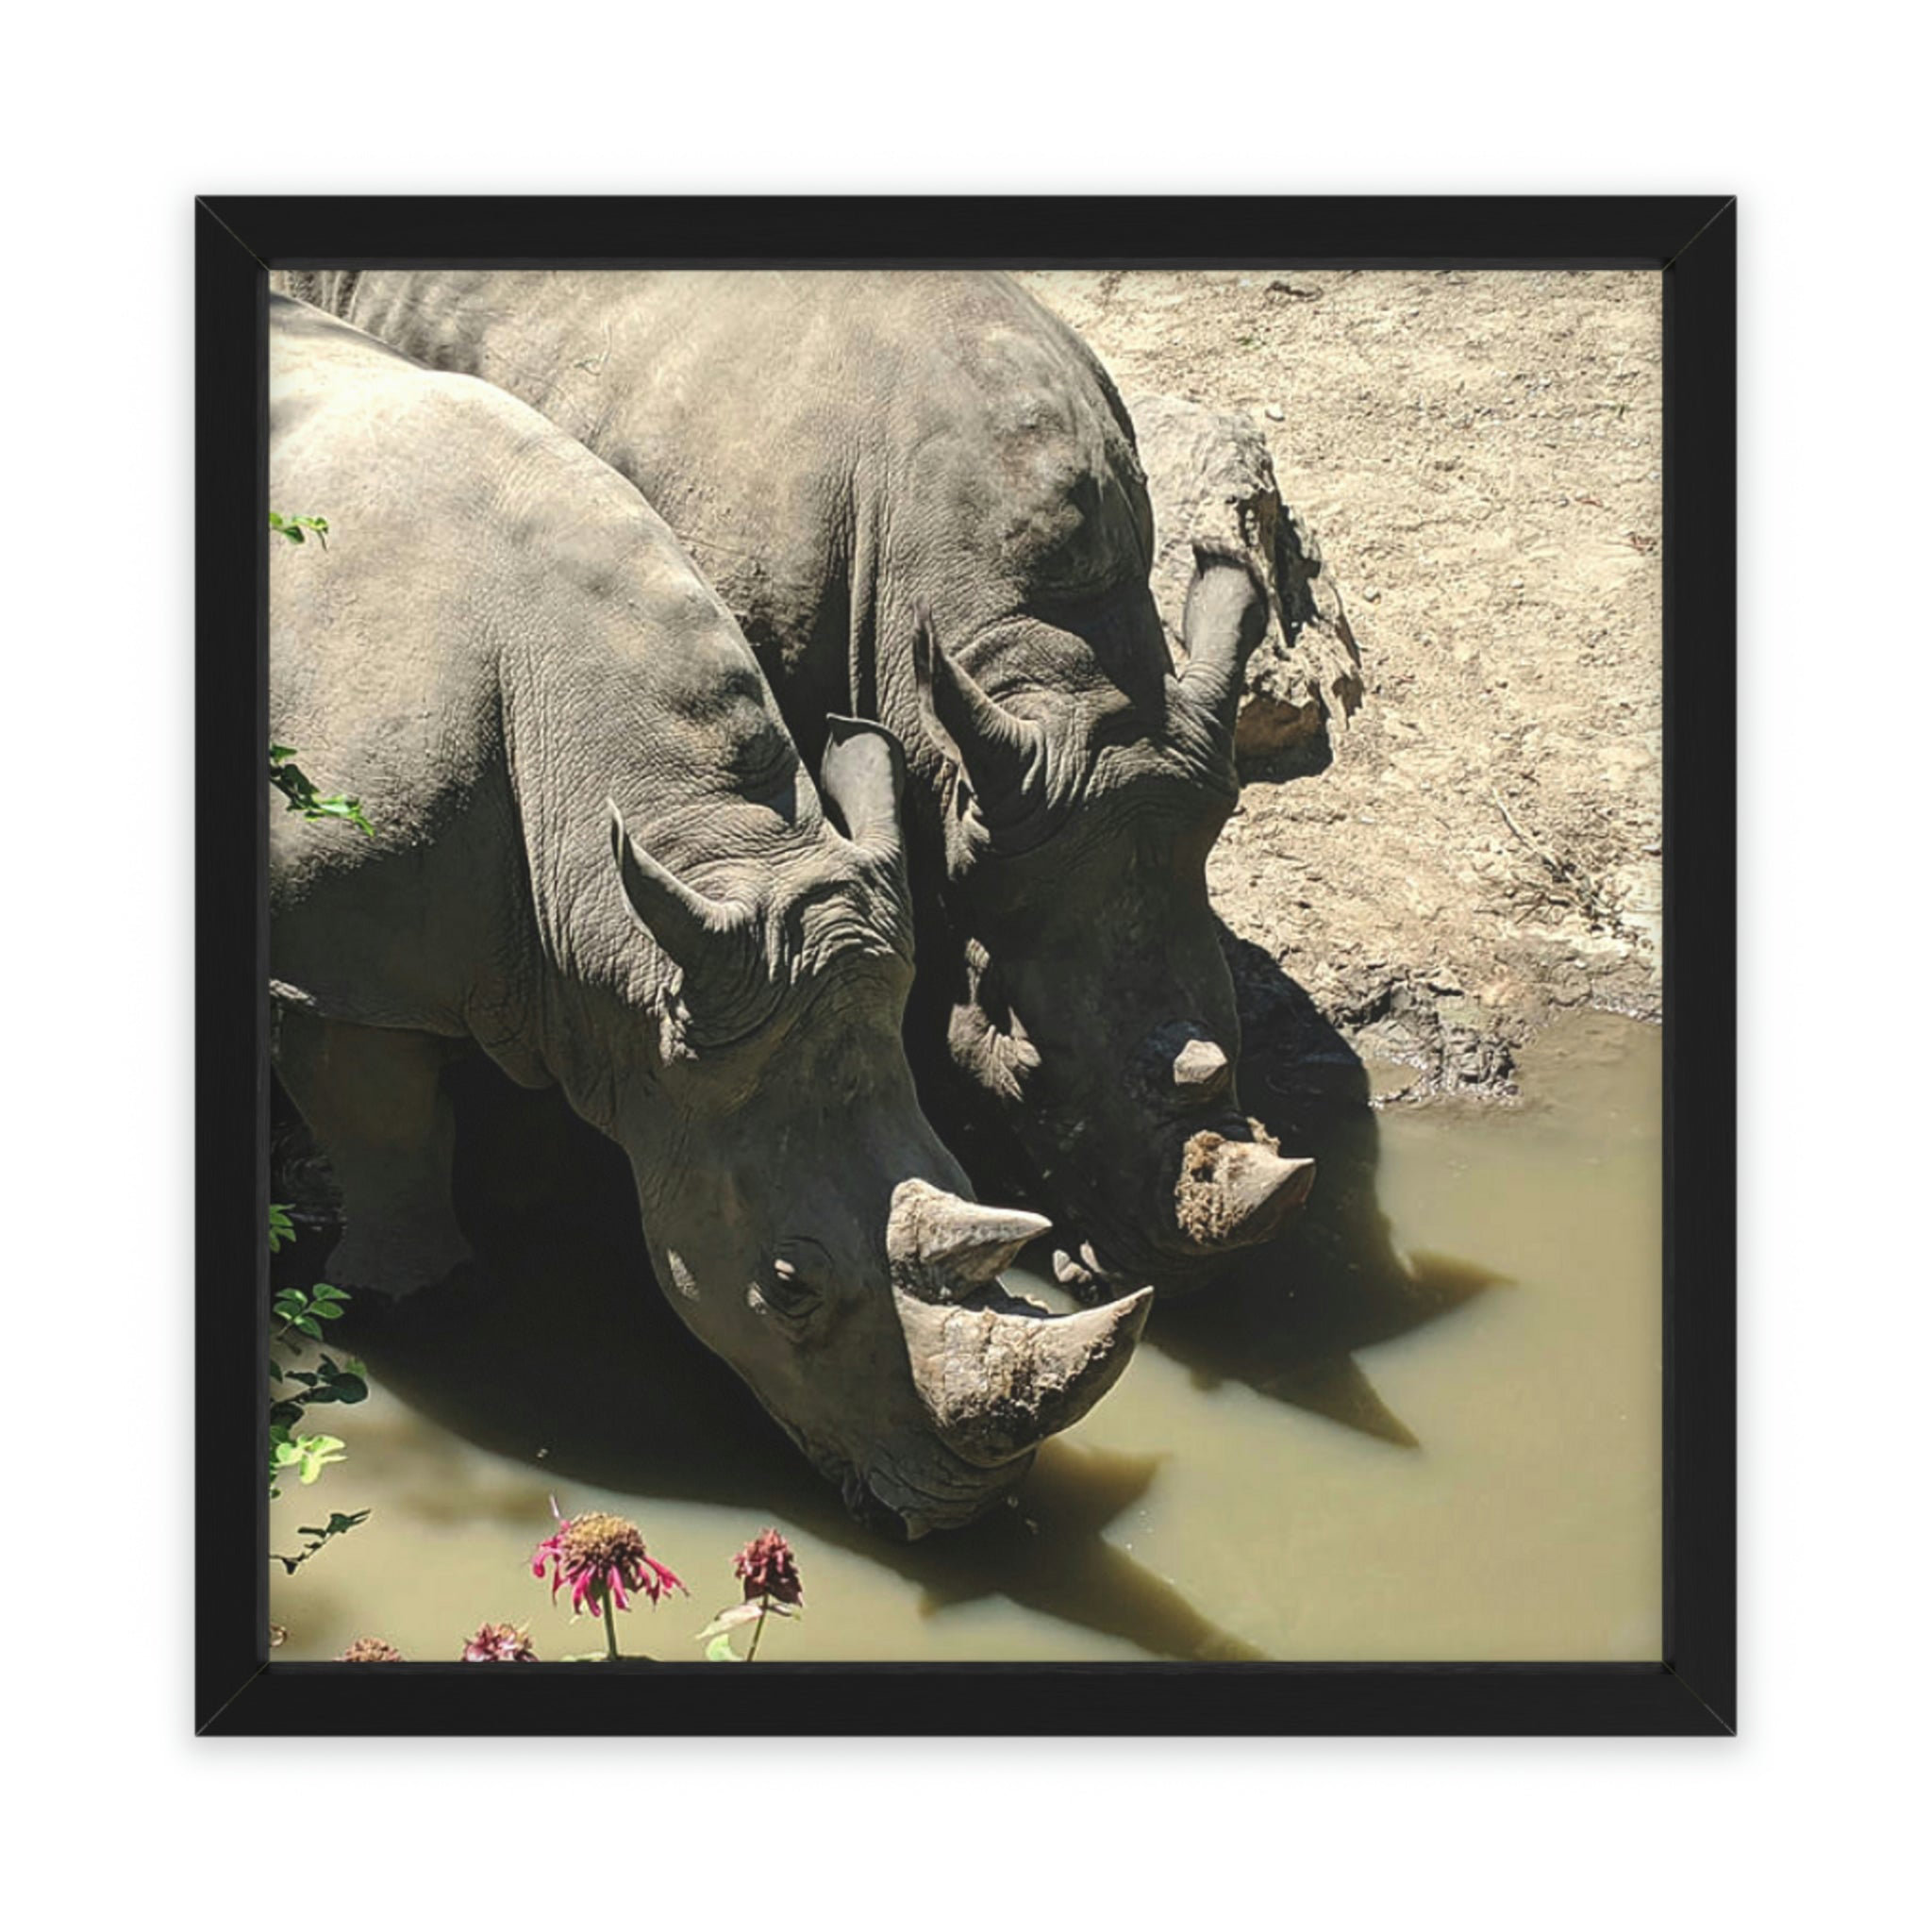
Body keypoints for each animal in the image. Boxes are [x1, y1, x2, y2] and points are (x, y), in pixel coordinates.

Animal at [267, 293, 1149, 1537]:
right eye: (785, 1286)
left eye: (973, 1184)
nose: (969, 1510)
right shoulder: (338, 955)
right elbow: (385, 1128)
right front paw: (420, 1299)